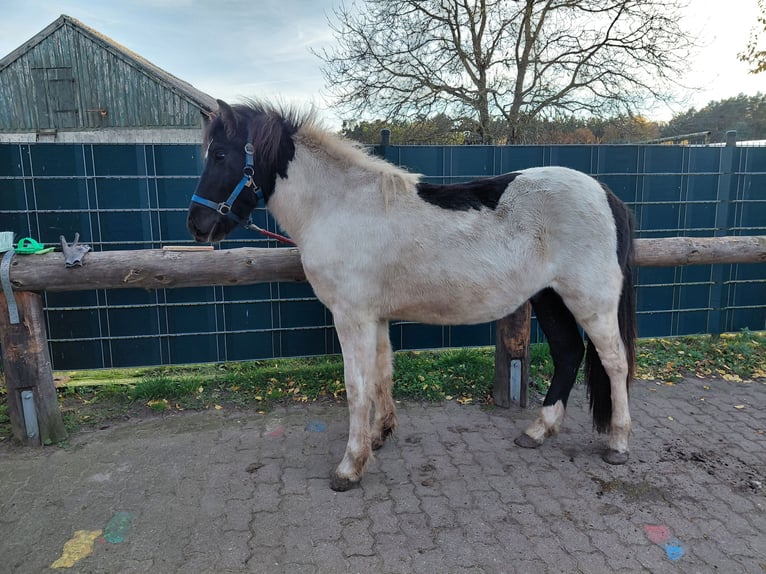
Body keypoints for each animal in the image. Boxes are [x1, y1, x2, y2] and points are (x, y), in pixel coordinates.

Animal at [187, 99, 637, 492]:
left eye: (221, 155)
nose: (197, 225)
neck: (339, 205)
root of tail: (604, 193)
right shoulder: (376, 317)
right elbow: (382, 374)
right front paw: (379, 435)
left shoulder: (351, 317)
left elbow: (356, 386)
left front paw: (350, 466)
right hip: (549, 298)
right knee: (568, 353)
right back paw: (539, 430)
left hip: (589, 302)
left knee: (615, 363)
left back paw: (618, 444)